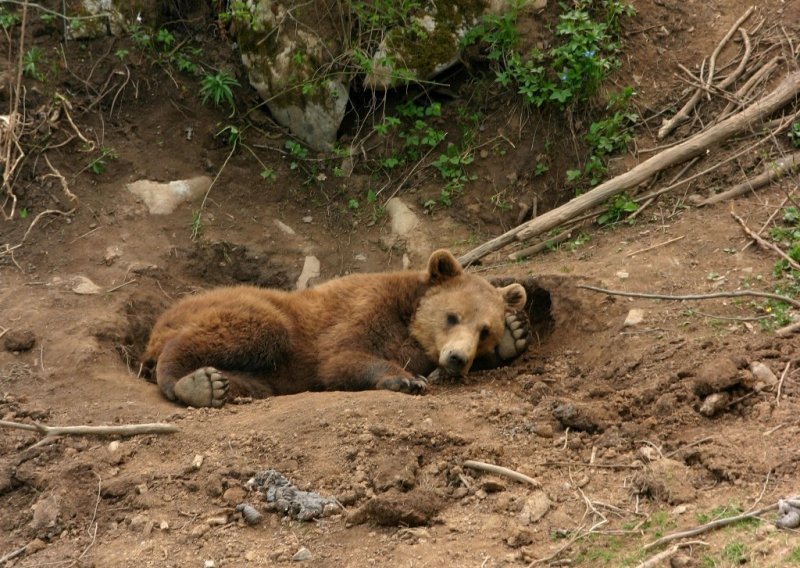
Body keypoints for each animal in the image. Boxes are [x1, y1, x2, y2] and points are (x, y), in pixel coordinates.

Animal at [144, 251, 532, 406]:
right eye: (453, 316)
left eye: (485, 332)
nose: (456, 359)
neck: (408, 318)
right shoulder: (361, 310)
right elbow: (341, 358)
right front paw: (406, 379)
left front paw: (514, 333)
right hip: (237, 308)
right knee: (258, 330)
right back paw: (191, 382)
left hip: (273, 375)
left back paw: (213, 386)